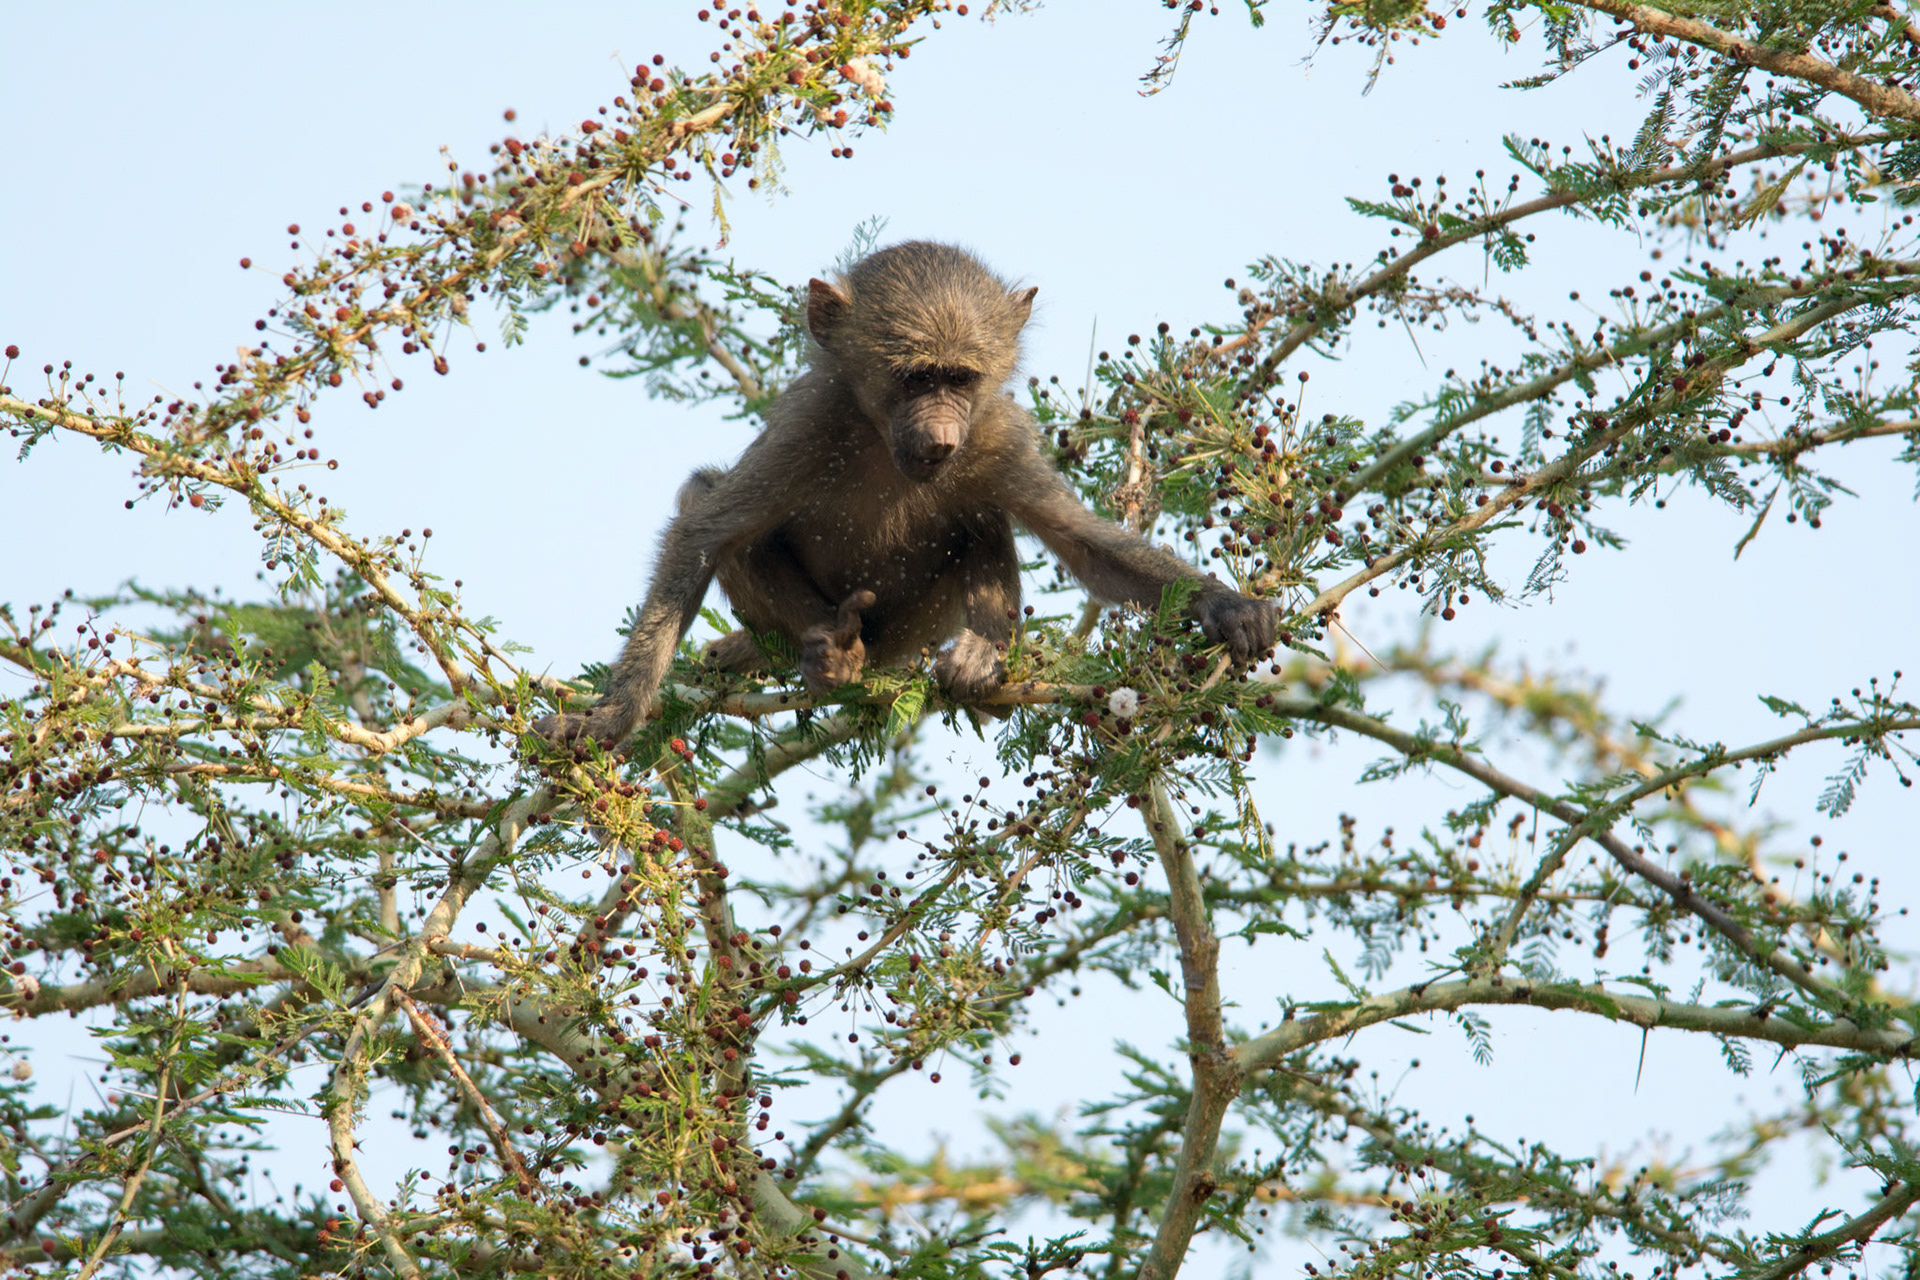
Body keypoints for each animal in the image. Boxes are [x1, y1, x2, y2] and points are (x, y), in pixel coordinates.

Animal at [533, 241, 1276, 748]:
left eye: (960, 378)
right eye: (915, 378)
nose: (942, 437)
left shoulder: (998, 433)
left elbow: (1084, 544)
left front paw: (1226, 605)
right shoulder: (810, 423)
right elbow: (705, 531)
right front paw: (610, 719)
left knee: (981, 519)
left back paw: (979, 661)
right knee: (705, 497)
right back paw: (826, 656)